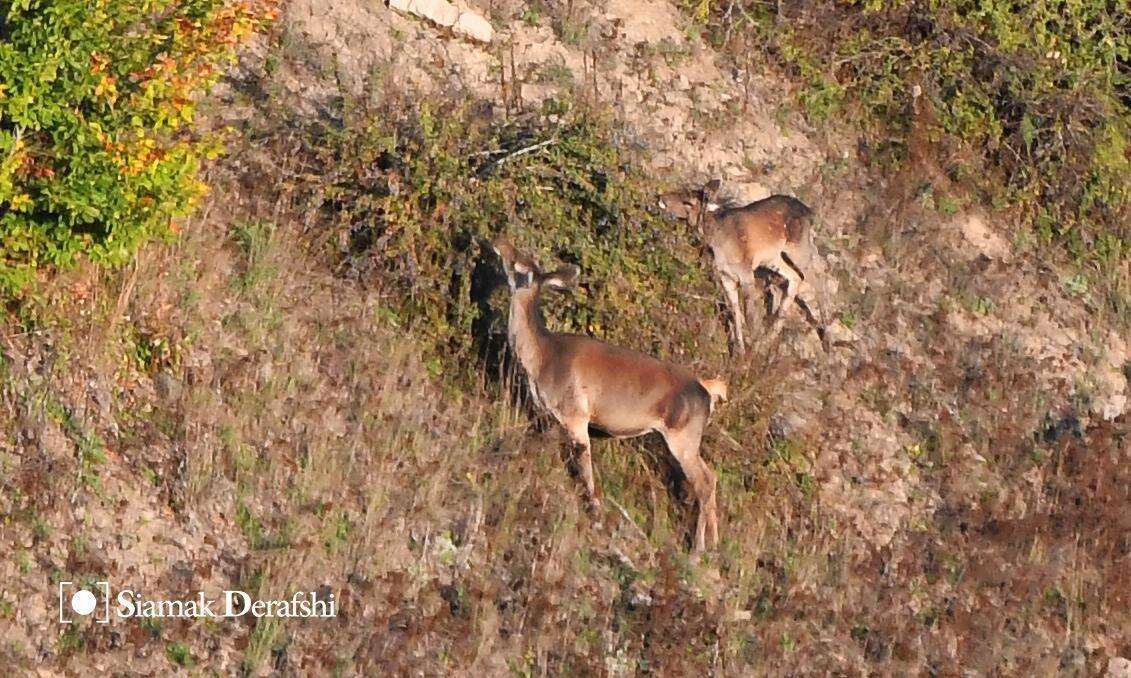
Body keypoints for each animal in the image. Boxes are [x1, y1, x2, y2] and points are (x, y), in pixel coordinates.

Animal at [490, 237, 728, 552]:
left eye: (516, 263)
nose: (499, 242)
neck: (541, 359)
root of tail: (708, 392)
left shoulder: (575, 415)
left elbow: (585, 469)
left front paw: (594, 514)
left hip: (683, 435)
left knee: (703, 483)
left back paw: (697, 548)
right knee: (712, 478)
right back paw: (713, 544)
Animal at [655, 178, 832, 355]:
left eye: (688, 202)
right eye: (680, 190)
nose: (660, 198)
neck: (715, 241)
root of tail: (810, 212)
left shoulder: (746, 273)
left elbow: (749, 313)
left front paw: (750, 350)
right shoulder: (726, 277)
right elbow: (735, 311)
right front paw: (739, 350)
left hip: (798, 248)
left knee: (818, 276)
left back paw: (827, 340)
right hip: (773, 257)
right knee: (795, 277)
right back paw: (770, 334)